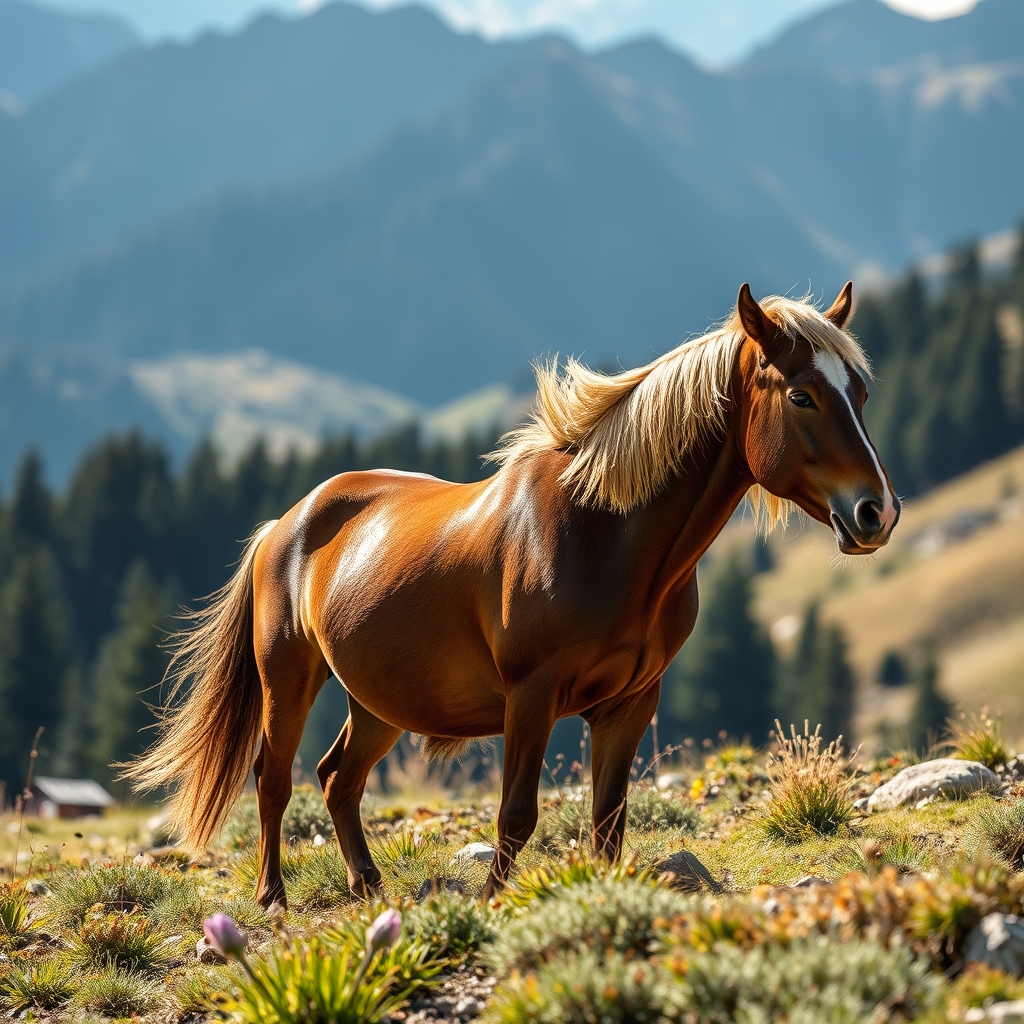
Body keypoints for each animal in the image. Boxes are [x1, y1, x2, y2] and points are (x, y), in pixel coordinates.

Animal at [124, 282, 899, 908]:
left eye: (860, 393)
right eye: (801, 394)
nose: (877, 513)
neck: (604, 534)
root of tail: (284, 526)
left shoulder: (630, 703)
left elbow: (608, 822)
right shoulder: (531, 697)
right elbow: (517, 814)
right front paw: (494, 901)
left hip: (378, 698)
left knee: (338, 779)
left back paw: (368, 886)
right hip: (288, 677)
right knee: (275, 777)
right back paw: (273, 895)